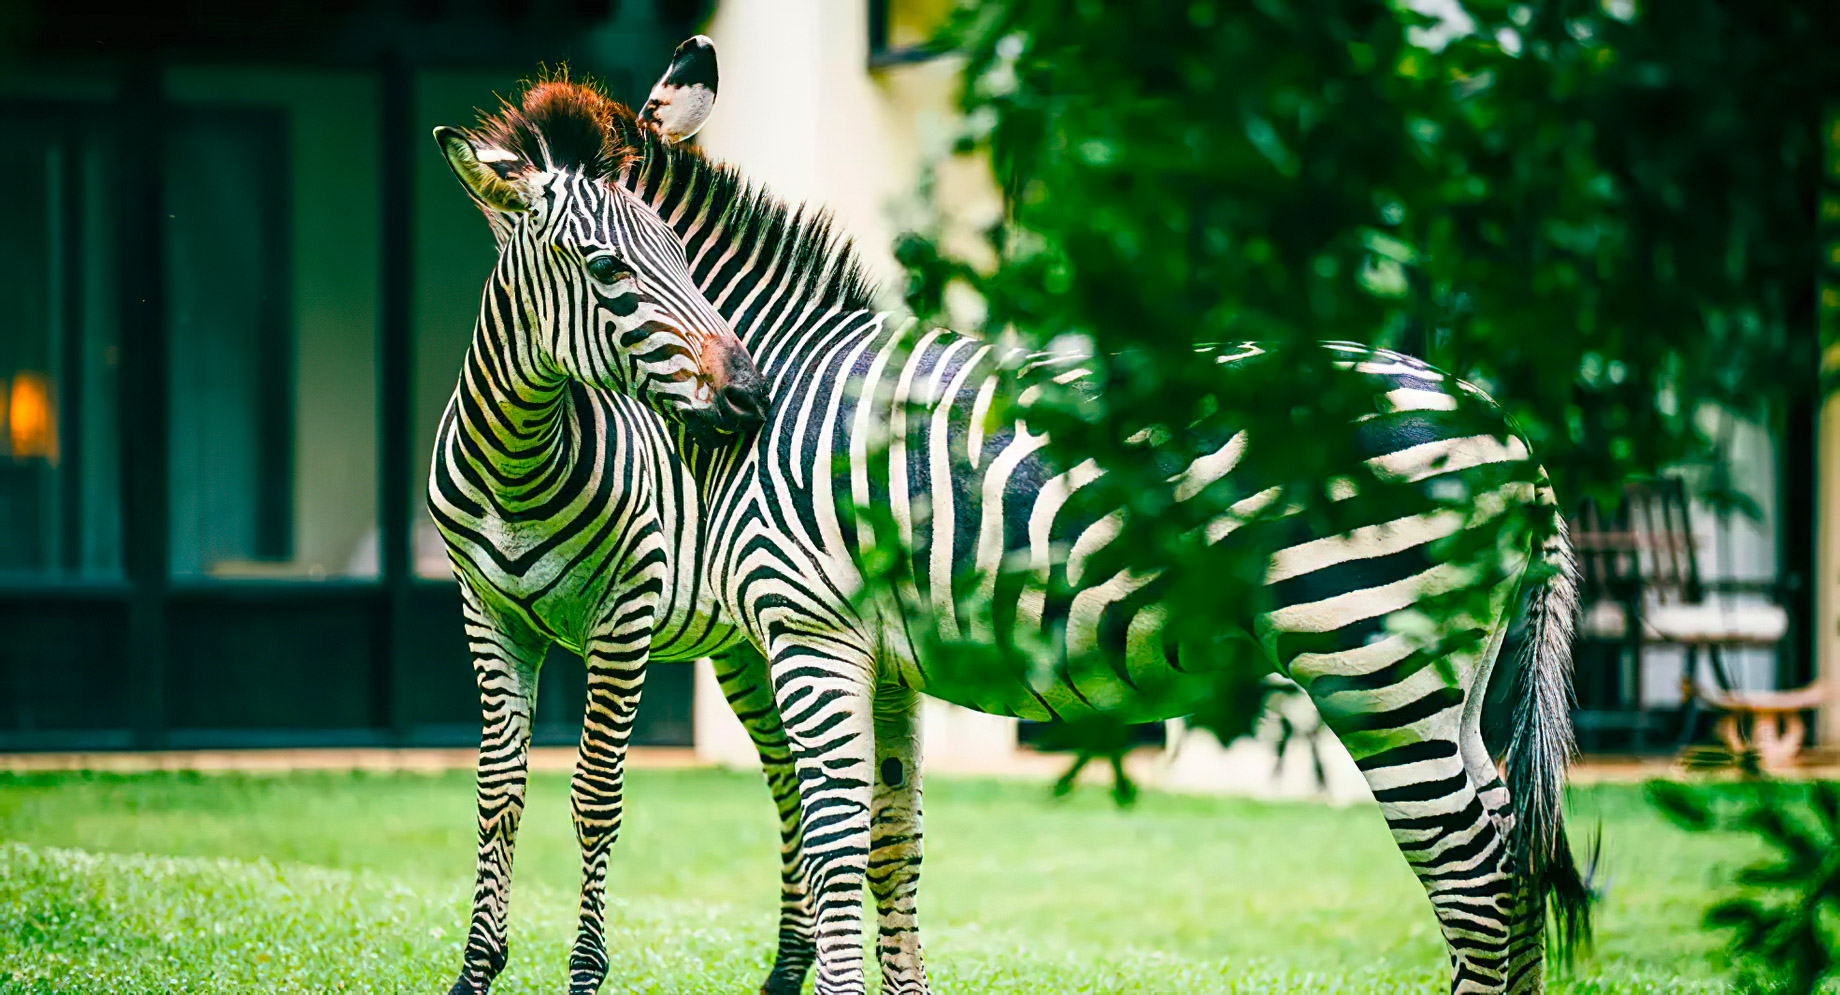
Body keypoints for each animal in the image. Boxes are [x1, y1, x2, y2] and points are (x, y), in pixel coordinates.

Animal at [436, 36, 1591, 995]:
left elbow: (833, 839)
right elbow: (887, 840)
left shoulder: (806, 630)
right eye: (608, 270)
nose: (747, 400)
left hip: (1371, 658)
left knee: (1474, 877)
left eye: (676, 262)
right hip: (1450, 677)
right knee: (1514, 856)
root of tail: (1506, 430)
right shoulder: (875, 657)